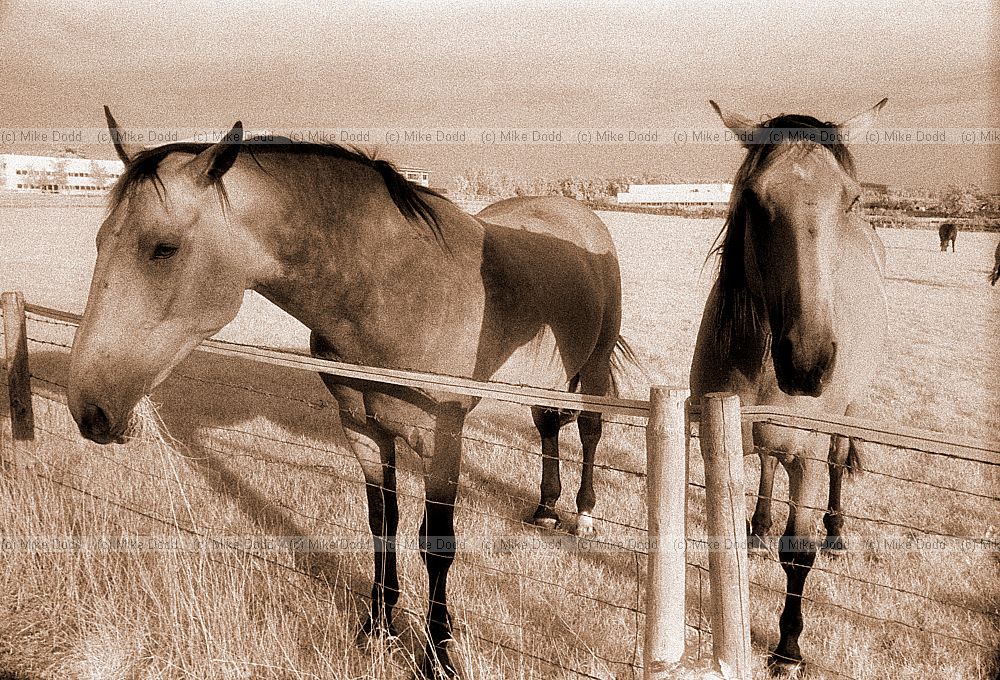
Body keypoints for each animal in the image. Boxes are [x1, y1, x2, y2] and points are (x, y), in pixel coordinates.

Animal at [67, 107, 634, 677]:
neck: (393, 289)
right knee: (546, 423)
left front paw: (437, 655)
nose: (90, 408)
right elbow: (382, 523)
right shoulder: (363, 430)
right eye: (98, 242)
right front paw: (377, 628)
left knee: (589, 430)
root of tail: (575, 212)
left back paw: (582, 515)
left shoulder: (441, 437)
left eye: (163, 249)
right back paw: (545, 507)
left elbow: (437, 544)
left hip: (593, 366)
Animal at [690, 99, 889, 675]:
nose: (807, 361)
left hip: (846, 415)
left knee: (837, 459)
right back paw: (758, 525)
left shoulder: (806, 450)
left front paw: (788, 647)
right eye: (755, 200)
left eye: (852, 198)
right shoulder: (718, 438)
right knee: (766, 462)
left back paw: (837, 529)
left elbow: (798, 551)